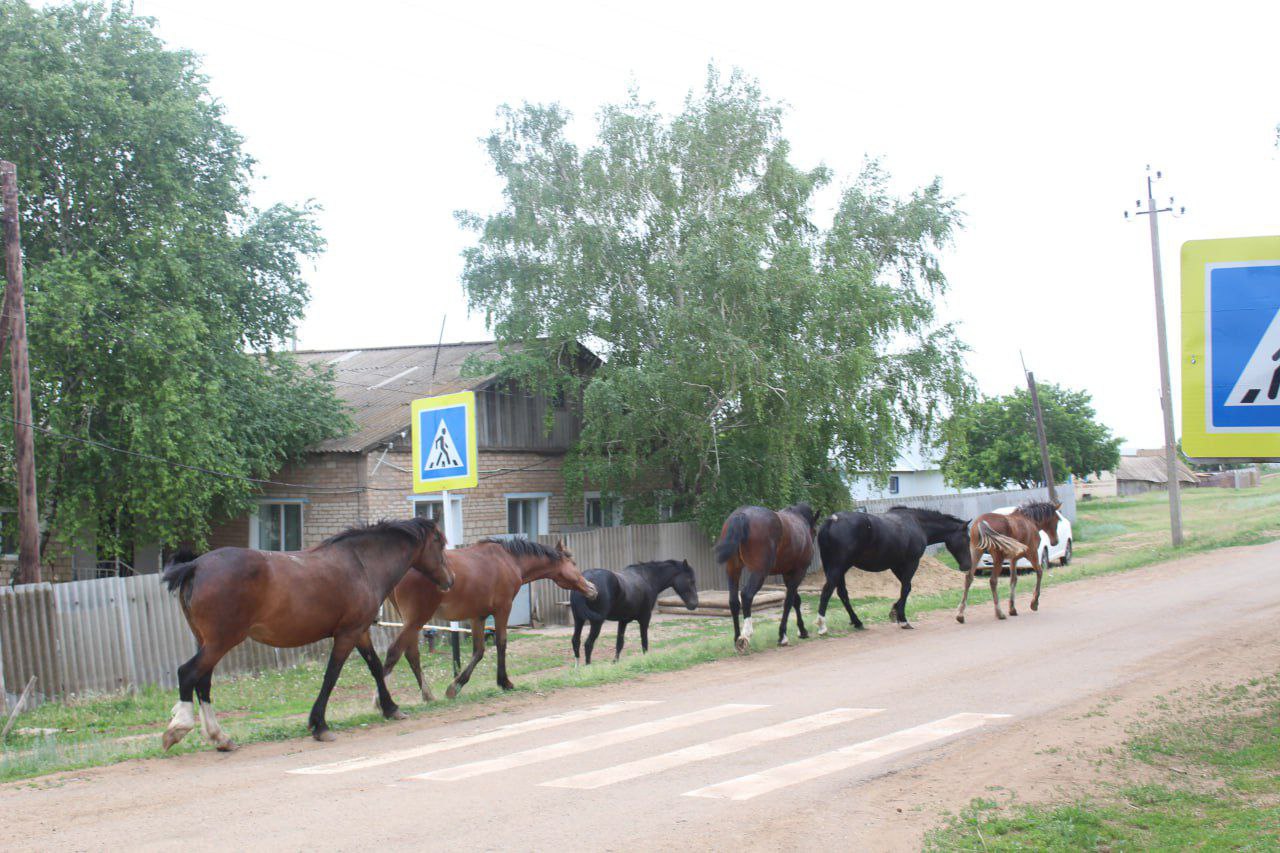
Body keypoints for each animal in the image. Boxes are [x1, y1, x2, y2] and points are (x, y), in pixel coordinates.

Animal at [160, 514, 453, 747]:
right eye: (440, 542)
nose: (450, 580)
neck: (362, 564)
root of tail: (196, 566)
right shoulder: (347, 634)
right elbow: (331, 676)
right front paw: (319, 725)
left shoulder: (360, 632)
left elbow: (376, 667)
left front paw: (390, 708)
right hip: (220, 642)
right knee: (188, 673)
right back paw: (180, 727)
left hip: (207, 642)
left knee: (203, 682)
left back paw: (219, 737)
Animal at [381, 537, 596, 696]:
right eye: (573, 563)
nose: (592, 588)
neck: (509, 560)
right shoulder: (502, 610)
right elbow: (501, 643)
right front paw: (504, 681)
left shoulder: (479, 616)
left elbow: (479, 651)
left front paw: (456, 686)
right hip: (417, 619)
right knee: (396, 652)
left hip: (411, 621)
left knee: (410, 654)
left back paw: (427, 695)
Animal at [573, 558, 701, 666]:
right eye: (691, 581)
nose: (694, 604)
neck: (647, 578)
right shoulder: (645, 618)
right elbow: (644, 641)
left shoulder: (623, 621)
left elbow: (619, 643)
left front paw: (615, 662)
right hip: (596, 623)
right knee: (588, 644)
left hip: (578, 620)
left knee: (576, 641)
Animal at [716, 499, 814, 650]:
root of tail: (742, 515)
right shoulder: (799, 572)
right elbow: (789, 601)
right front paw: (783, 635)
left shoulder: (788, 573)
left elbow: (795, 600)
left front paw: (802, 630)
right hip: (759, 572)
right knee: (747, 595)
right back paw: (746, 635)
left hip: (733, 569)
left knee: (733, 601)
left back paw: (737, 638)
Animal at [819, 504, 967, 630]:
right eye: (966, 538)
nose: (967, 565)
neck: (917, 523)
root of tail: (832, 520)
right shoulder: (911, 562)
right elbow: (906, 588)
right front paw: (902, 619)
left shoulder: (896, 565)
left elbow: (906, 588)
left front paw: (895, 611)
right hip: (839, 567)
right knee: (827, 591)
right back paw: (822, 626)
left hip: (834, 568)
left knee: (842, 593)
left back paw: (857, 622)